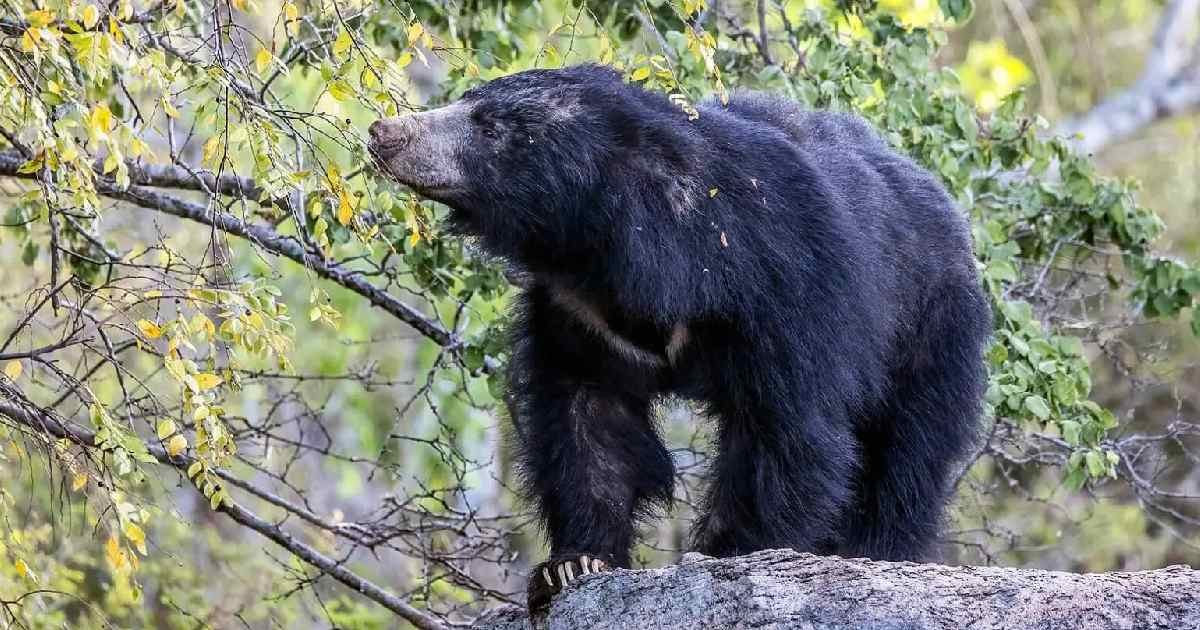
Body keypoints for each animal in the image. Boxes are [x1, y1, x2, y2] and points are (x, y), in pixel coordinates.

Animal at [369, 63, 988, 609]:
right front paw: (572, 564)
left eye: (491, 129)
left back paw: (879, 549)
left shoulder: (785, 286)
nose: (385, 132)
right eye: (467, 101)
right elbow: (588, 420)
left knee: (906, 458)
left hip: (931, 330)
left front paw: (730, 552)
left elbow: (786, 428)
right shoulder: (578, 313)